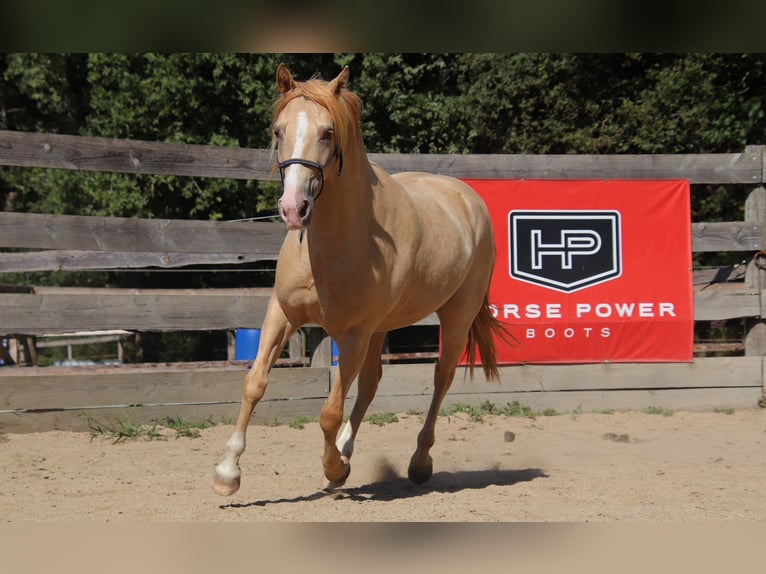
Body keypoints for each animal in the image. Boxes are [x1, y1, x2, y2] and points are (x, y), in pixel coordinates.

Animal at [213, 64, 509, 496]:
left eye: (327, 132)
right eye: (278, 131)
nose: (293, 209)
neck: (331, 247)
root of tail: (468, 199)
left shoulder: (352, 335)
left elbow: (329, 411)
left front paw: (334, 468)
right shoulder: (283, 315)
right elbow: (255, 383)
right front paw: (227, 473)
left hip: (454, 317)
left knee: (441, 377)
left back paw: (417, 462)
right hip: (380, 329)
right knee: (371, 382)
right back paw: (347, 451)